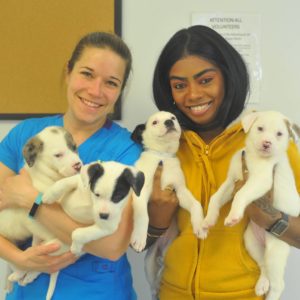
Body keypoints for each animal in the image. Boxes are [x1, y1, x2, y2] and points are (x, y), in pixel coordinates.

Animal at [130, 110, 205, 253]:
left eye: (173, 117)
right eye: (154, 122)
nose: (169, 122)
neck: (162, 156)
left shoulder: (180, 191)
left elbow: (196, 204)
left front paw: (200, 224)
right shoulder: (140, 193)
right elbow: (143, 215)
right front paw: (139, 238)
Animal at [202, 111, 300, 300]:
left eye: (279, 134)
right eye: (260, 128)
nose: (267, 143)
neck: (256, 158)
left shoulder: (260, 180)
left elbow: (242, 194)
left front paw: (233, 216)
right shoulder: (232, 181)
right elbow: (215, 198)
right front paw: (208, 220)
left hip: (275, 251)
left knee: (278, 284)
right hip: (251, 242)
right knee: (263, 266)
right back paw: (262, 284)